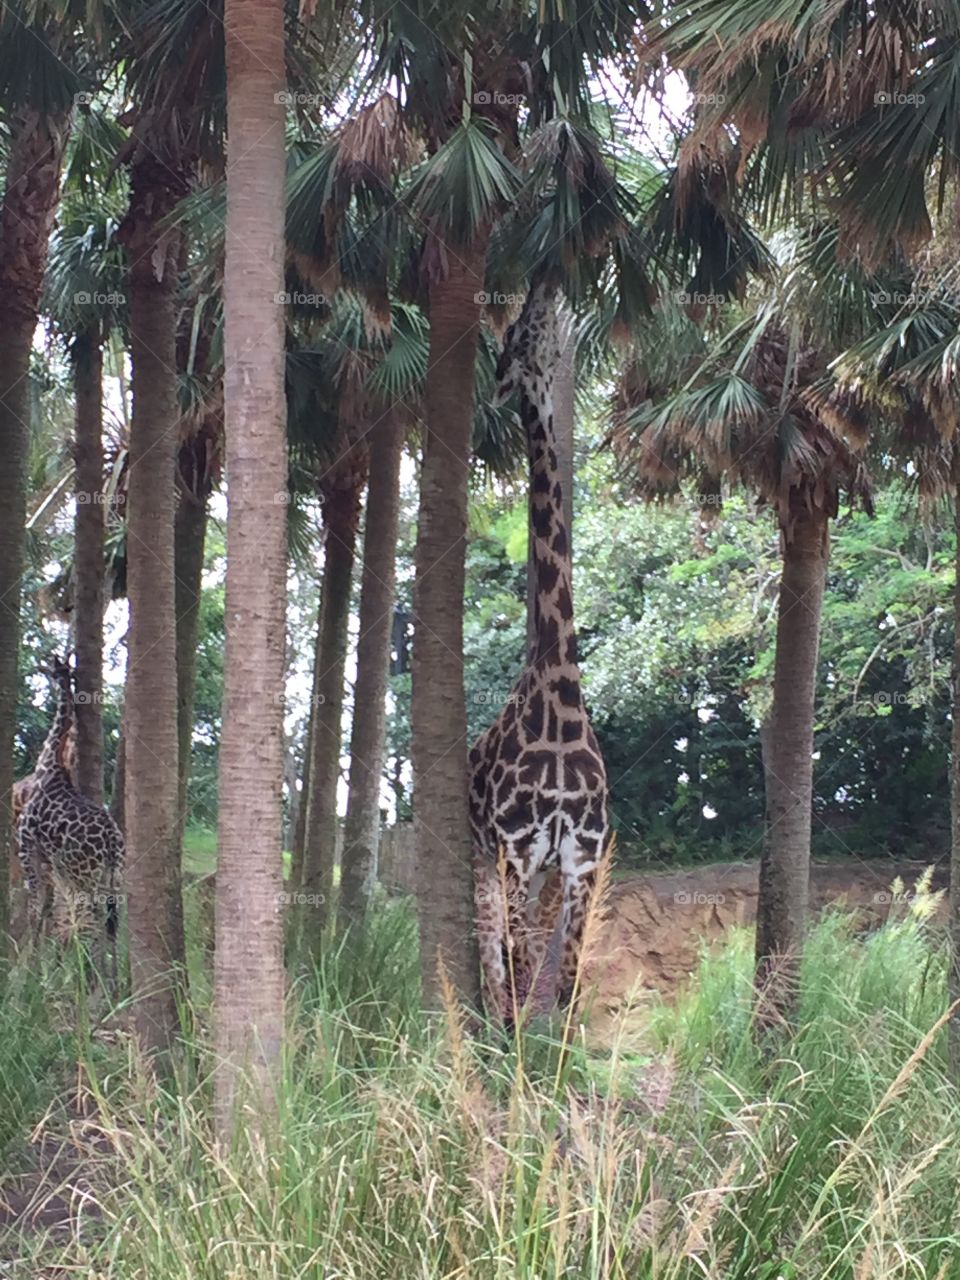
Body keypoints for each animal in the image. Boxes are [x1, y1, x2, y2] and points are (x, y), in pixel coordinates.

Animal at [17, 656, 124, 950]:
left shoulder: (25, 839)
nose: (44, 671)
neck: (48, 764)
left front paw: (30, 959)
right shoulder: (53, 860)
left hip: (86, 872)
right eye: (62, 669)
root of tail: (113, 840)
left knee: (95, 916)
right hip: (113, 873)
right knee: (111, 918)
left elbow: (36, 904)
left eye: (52, 669)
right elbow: (49, 906)